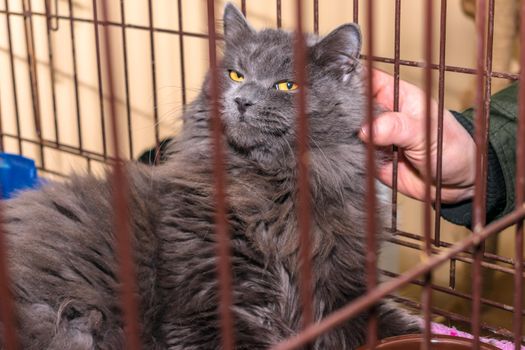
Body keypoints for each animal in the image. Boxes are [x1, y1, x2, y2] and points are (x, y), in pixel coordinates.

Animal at [0, 3, 418, 350]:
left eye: (287, 85)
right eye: (236, 74)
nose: (242, 100)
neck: (271, 191)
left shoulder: (342, 289)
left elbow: (393, 321)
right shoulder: (207, 305)